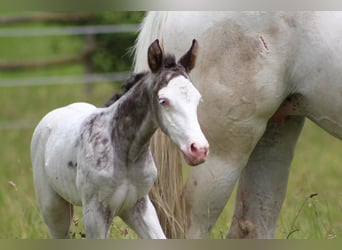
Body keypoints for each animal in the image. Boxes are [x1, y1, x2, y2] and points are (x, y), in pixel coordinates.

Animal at [31, 39, 208, 238]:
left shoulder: (139, 206)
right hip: (53, 209)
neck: (126, 153)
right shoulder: (95, 213)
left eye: (198, 100)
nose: (199, 149)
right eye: (163, 100)